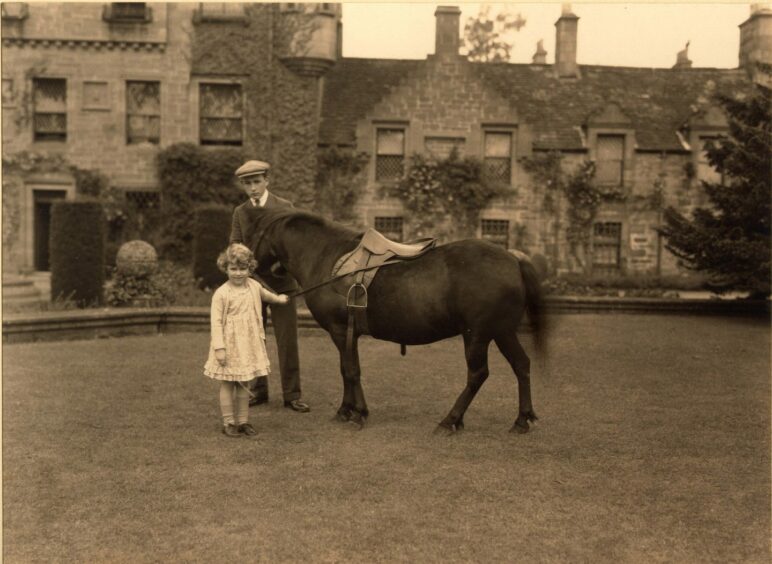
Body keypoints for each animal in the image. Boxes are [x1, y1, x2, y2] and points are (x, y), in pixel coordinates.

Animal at [244, 206, 544, 432]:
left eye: (253, 236)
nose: (244, 266)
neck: (326, 256)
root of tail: (513, 258)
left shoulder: (340, 330)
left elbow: (350, 370)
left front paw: (357, 412)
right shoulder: (346, 333)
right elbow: (347, 370)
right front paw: (347, 410)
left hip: (477, 335)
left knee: (478, 374)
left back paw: (450, 420)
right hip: (502, 332)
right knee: (522, 365)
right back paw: (522, 419)